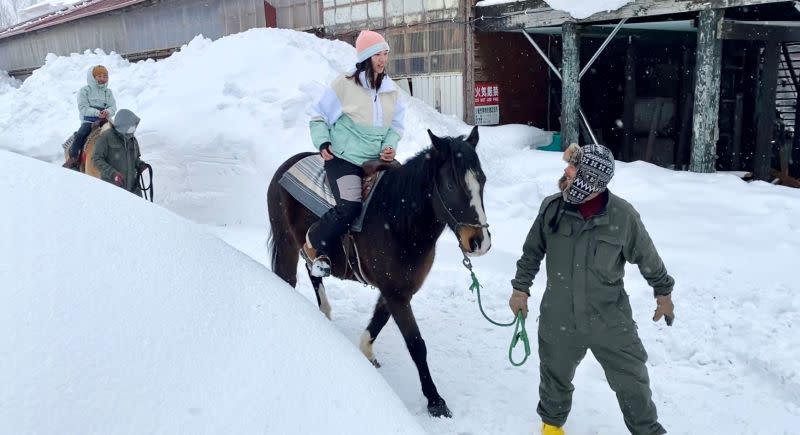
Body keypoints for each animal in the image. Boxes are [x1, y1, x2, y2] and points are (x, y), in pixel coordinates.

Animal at [268, 126, 490, 418]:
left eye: (482, 181)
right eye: (452, 185)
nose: (479, 242)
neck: (399, 219)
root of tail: (285, 166)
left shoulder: (398, 290)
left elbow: (378, 321)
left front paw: (367, 353)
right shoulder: (396, 294)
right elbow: (417, 345)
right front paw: (435, 401)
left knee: (314, 272)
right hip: (287, 246)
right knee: (288, 278)